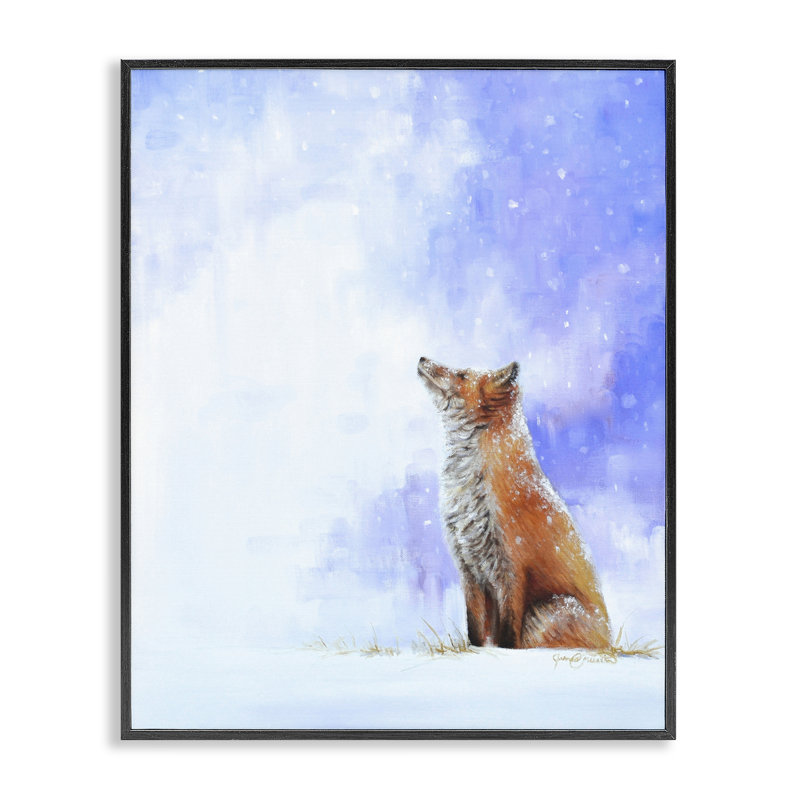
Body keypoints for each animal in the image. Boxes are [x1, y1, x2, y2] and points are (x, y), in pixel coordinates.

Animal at [417, 356, 611, 650]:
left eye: (462, 375)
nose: (422, 359)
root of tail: (611, 642)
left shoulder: (512, 567)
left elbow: (509, 634)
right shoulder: (469, 567)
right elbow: (475, 629)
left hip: (544, 612)